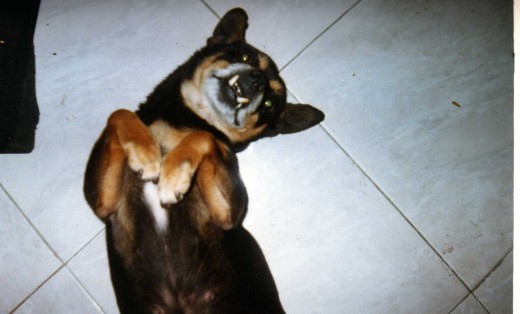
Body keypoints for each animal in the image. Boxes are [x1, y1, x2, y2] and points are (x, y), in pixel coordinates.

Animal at [83, 7, 322, 314]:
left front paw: (173, 176)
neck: (187, 120)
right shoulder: (104, 203)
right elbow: (119, 113)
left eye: (269, 104)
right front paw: (145, 153)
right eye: (246, 57)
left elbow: (204, 137)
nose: (256, 81)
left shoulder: (227, 213)